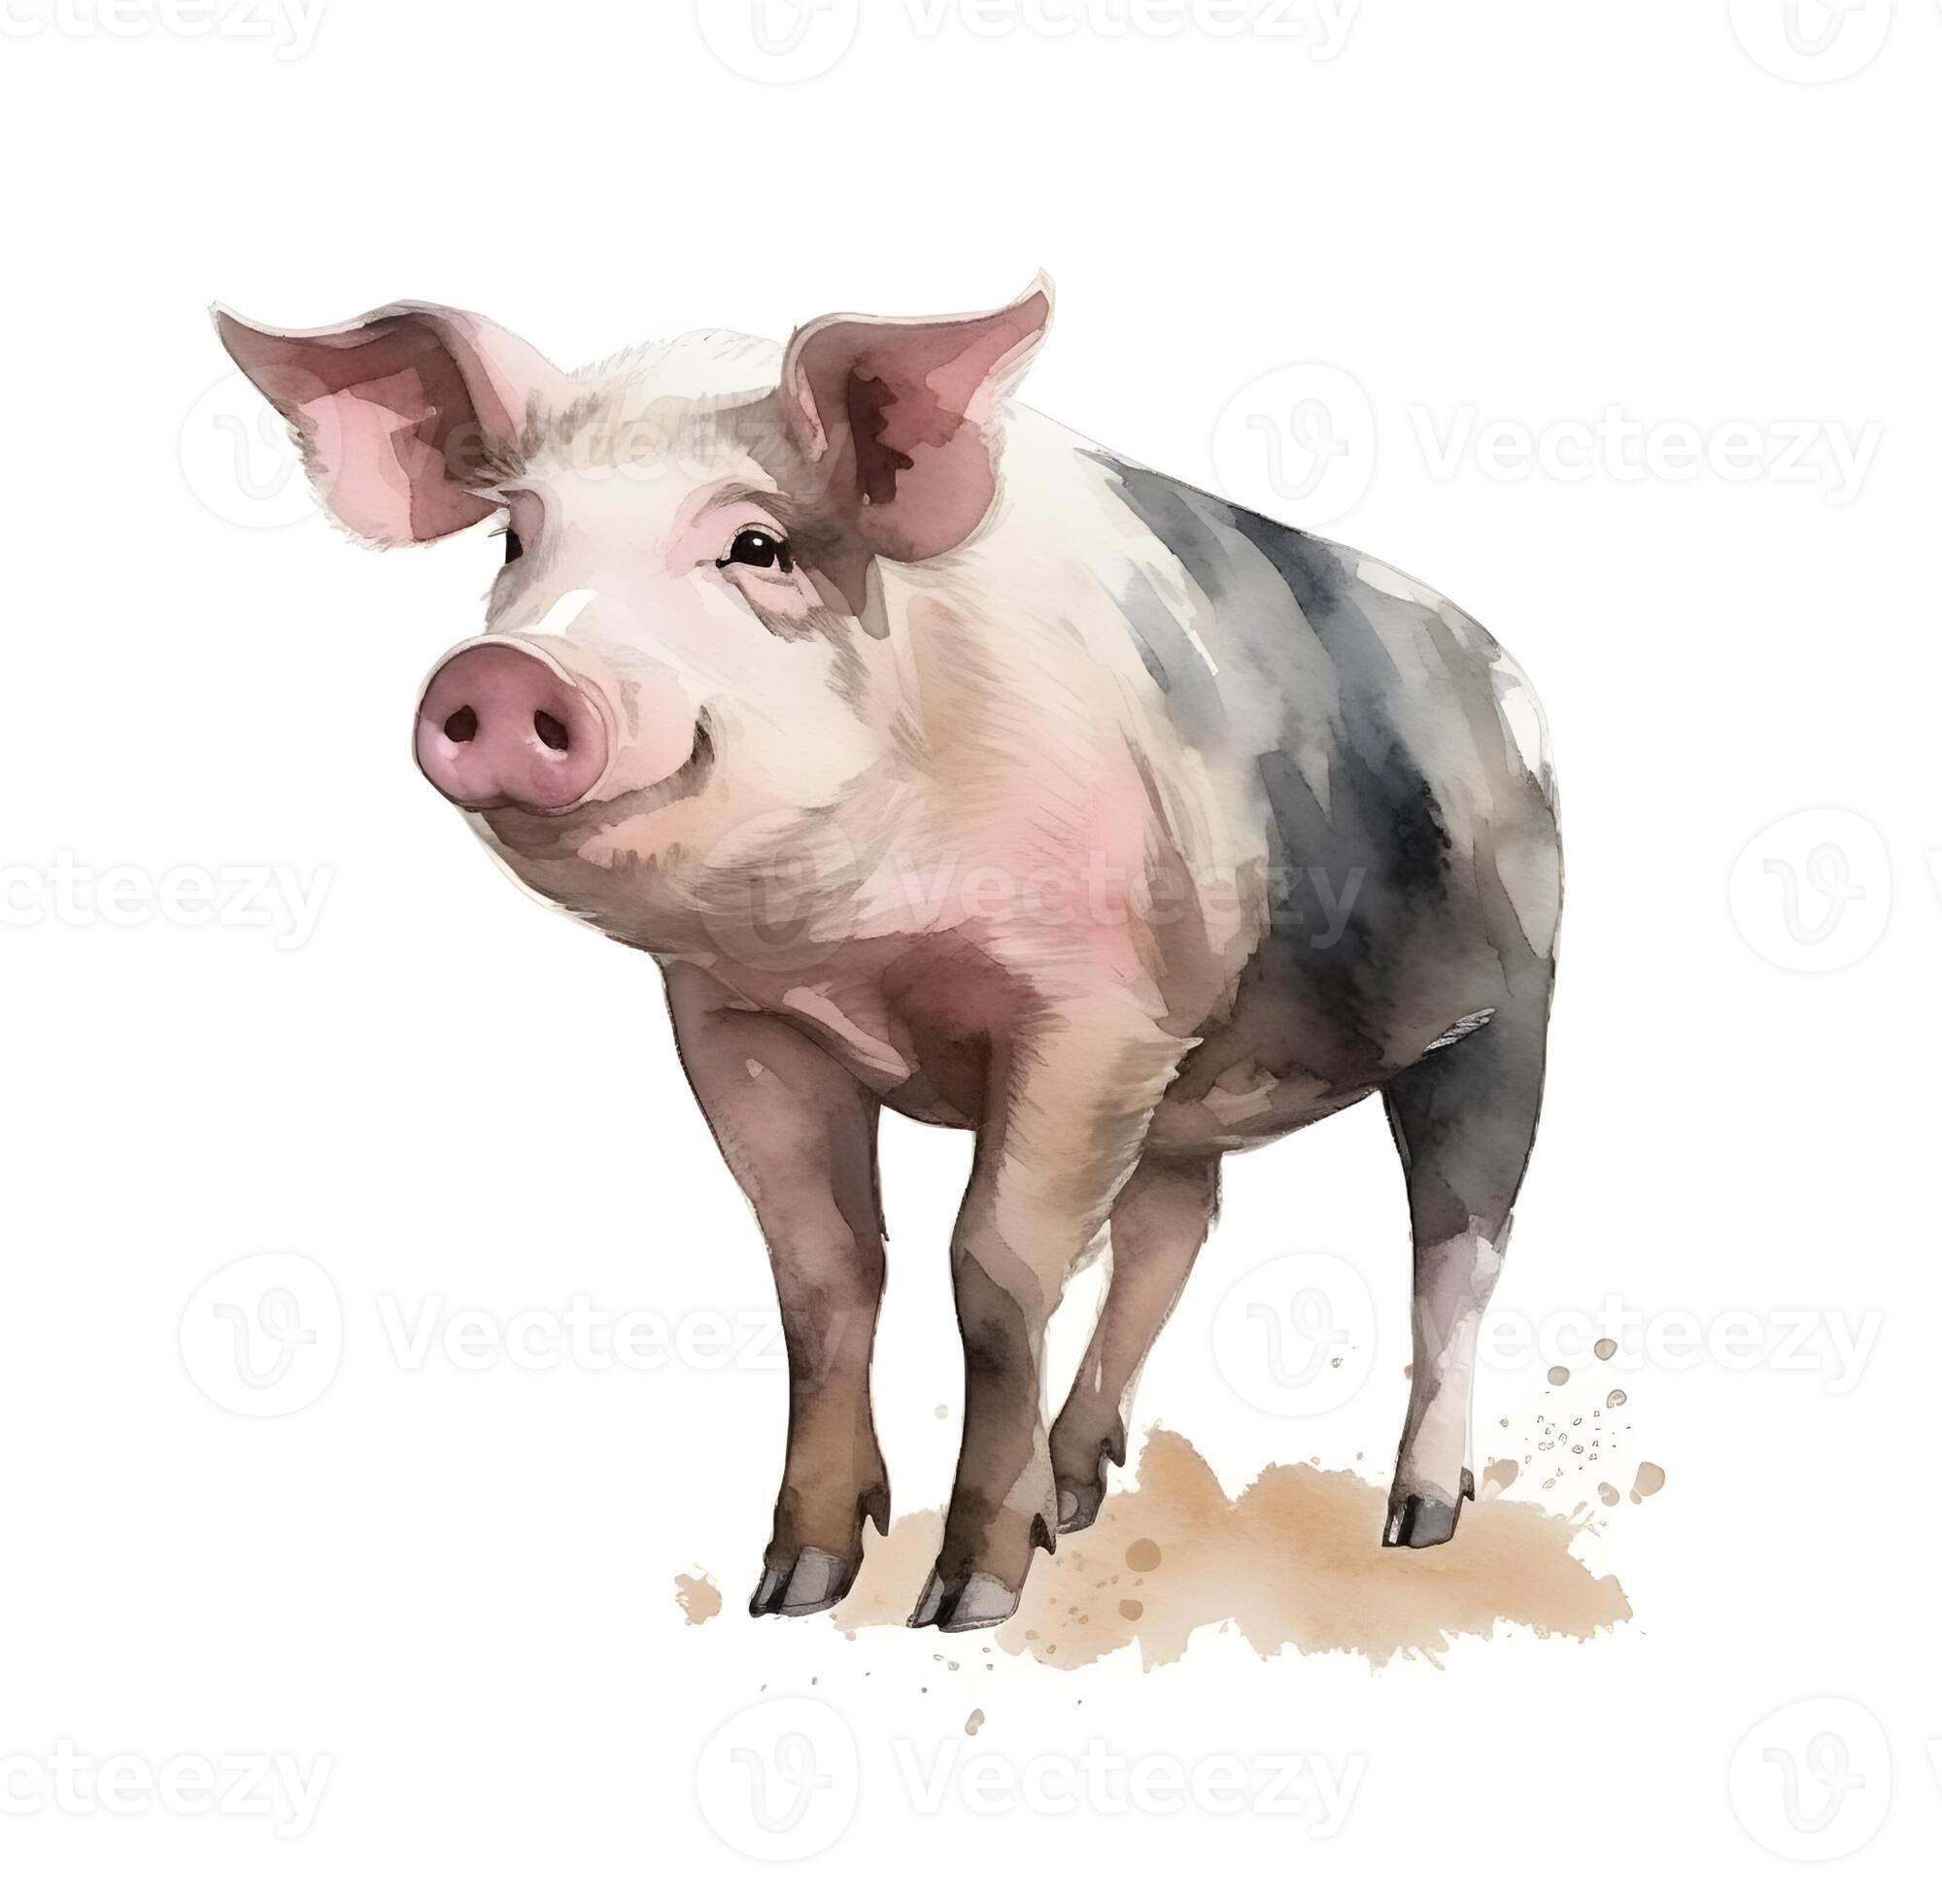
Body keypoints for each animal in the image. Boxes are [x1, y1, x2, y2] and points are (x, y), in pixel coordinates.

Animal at [216, 281, 1561, 1632]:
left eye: (756, 545)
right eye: (514, 542)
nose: (502, 673)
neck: (847, 943)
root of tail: (1505, 670)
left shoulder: (1092, 1009)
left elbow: (995, 1274)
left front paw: (966, 1599)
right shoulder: (738, 1021)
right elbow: (822, 1274)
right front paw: (792, 1584)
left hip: (1506, 1016)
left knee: (1457, 1250)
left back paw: (1415, 1519)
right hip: (1197, 1071)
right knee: (1172, 1232)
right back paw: (1079, 1492)